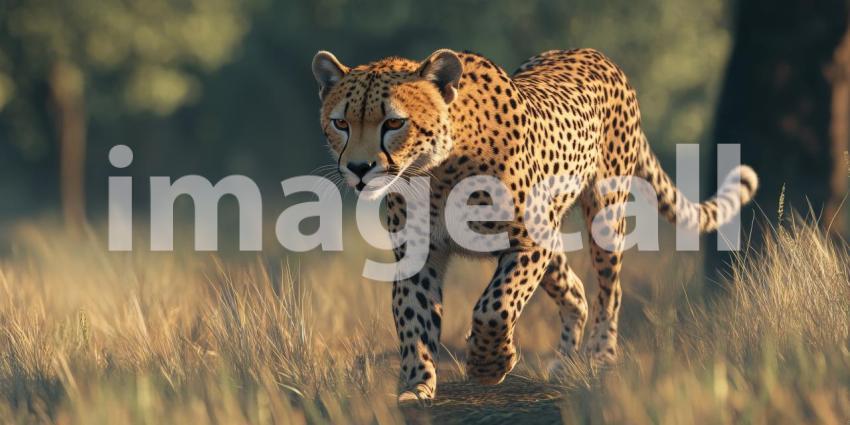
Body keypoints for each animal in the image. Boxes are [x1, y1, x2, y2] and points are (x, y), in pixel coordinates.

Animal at [310, 48, 758, 404]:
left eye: (393, 123)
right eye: (341, 123)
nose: (359, 169)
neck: (438, 168)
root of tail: (596, 54)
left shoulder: (528, 242)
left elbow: (495, 305)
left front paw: (490, 364)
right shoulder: (418, 256)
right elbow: (413, 321)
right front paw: (416, 386)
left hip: (604, 213)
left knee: (608, 291)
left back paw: (600, 358)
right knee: (576, 290)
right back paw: (563, 365)